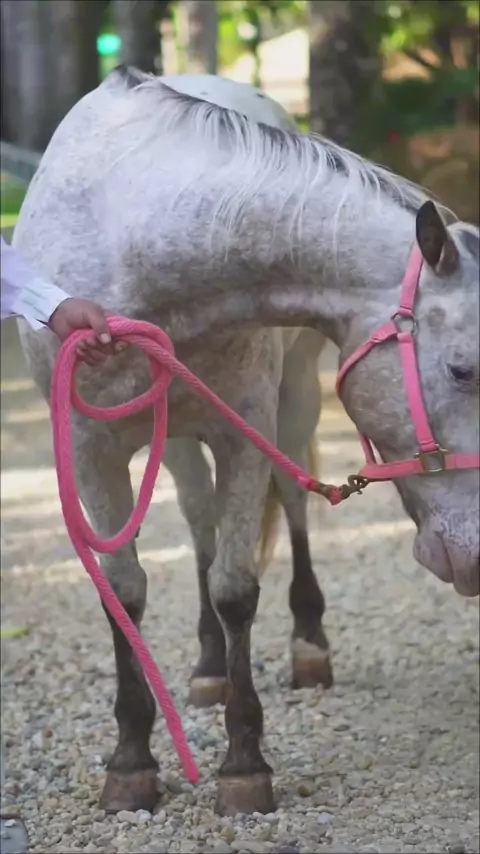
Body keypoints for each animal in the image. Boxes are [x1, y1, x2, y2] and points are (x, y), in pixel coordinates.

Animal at [15, 67, 479, 818]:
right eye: (463, 369)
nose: (474, 557)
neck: (136, 242)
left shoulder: (246, 429)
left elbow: (236, 587)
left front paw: (243, 764)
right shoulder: (90, 449)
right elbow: (125, 588)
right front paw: (131, 760)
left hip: (290, 403)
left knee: (290, 503)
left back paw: (308, 645)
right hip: (175, 436)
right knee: (199, 520)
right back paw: (208, 666)